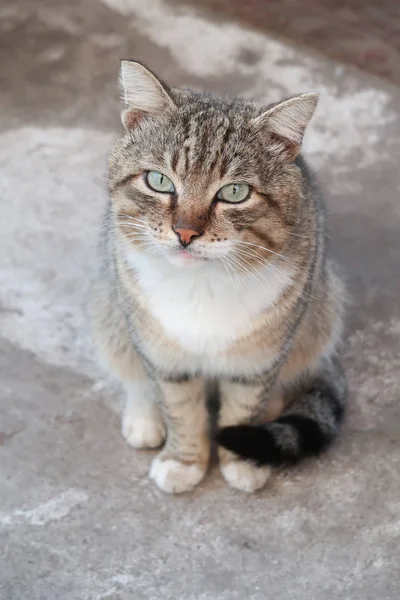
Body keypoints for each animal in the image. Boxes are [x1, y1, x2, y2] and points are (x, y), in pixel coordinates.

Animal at [87, 58, 346, 494]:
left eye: (235, 192)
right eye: (159, 181)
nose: (185, 233)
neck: (201, 284)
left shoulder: (258, 359)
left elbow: (242, 409)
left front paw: (241, 459)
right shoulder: (163, 354)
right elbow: (180, 408)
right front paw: (184, 461)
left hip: (321, 313)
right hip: (110, 309)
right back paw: (144, 416)